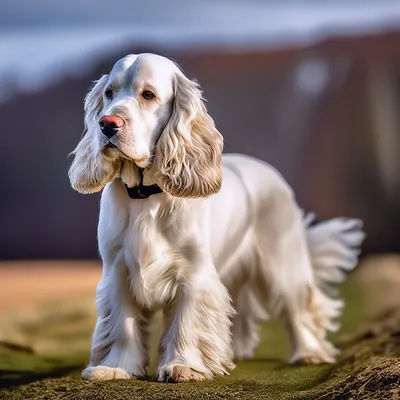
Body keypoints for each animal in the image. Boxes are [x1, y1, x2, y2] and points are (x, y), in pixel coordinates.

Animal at [69, 52, 366, 382]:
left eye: (148, 94)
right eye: (109, 93)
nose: (107, 124)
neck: (147, 196)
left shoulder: (193, 273)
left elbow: (186, 323)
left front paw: (183, 365)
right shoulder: (118, 271)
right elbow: (123, 325)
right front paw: (116, 367)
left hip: (282, 266)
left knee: (299, 309)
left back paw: (309, 353)